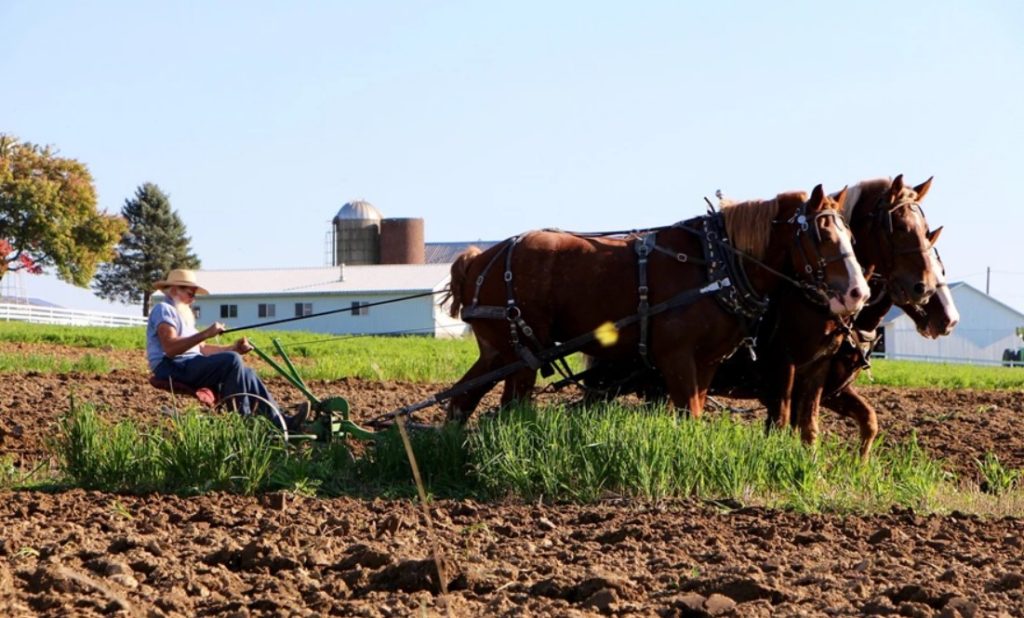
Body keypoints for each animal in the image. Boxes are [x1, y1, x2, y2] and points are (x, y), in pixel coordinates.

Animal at [444, 184, 868, 425]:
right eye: (820, 234)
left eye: (849, 234)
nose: (857, 293)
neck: (714, 264)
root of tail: (479, 259)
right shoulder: (676, 358)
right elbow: (689, 415)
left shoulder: (706, 362)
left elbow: (694, 412)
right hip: (518, 353)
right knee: (501, 404)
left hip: (498, 352)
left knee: (463, 397)